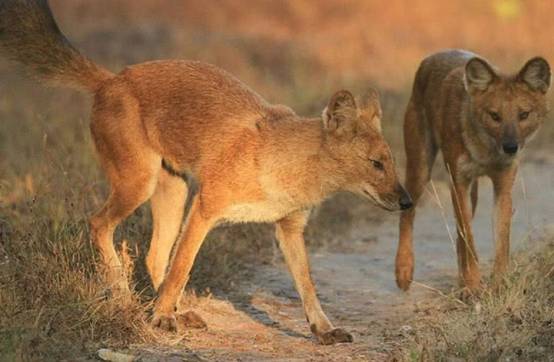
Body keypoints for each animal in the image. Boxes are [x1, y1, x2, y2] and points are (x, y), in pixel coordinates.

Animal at [1, 0, 410, 346]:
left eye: (391, 161)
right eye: (375, 163)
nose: (407, 201)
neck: (289, 163)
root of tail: (111, 78)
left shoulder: (289, 227)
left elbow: (307, 284)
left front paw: (323, 330)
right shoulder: (205, 208)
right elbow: (183, 266)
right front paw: (160, 317)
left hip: (174, 191)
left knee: (153, 255)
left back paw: (177, 311)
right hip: (139, 184)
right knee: (100, 224)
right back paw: (126, 295)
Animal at [394, 50, 544, 294]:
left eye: (523, 115)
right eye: (494, 115)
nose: (511, 147)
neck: (485, 151)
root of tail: (432, 56)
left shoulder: (502, 187)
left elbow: (501, 241)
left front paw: (498, 285)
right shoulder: (458, 182)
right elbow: (469, 240)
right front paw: (474, 286)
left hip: (471, 192)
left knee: (458, 236)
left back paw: (461, 281)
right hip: (420, 169)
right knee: (408, 214)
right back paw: (404, 271)